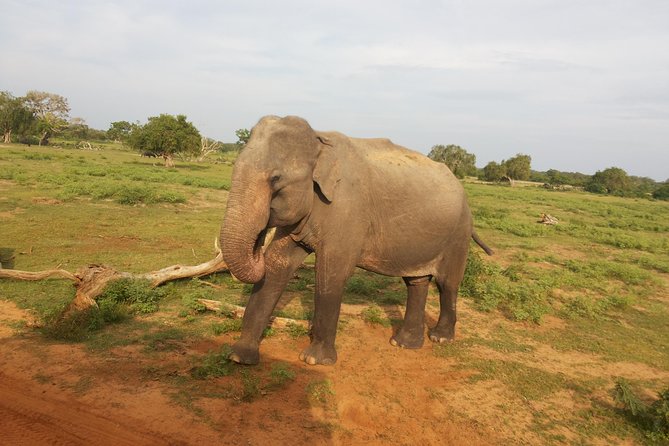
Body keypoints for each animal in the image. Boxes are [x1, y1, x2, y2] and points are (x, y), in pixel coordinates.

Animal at [220, 116, 492, 366]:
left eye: (275, 179)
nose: (258, 240)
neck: (320, 140)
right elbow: (277, 264)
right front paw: (239, 357)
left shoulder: (347, 210)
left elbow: (330, 273)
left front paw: (314, 361)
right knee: (416, 281)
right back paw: (403, 343)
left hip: (458, 232)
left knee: (448, 283)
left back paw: (439, 338)